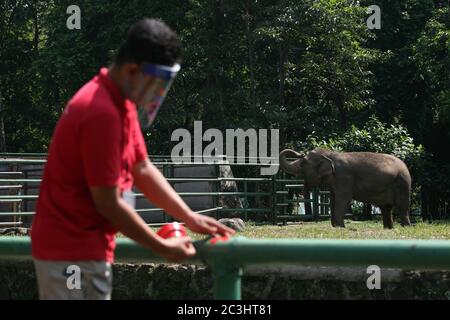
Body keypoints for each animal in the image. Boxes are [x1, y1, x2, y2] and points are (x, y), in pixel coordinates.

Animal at [280, 149, 414, 229]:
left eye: (303, 163)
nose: (299, 153)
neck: (330, 155)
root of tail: (405, 166)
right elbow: (334, 199)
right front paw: (335, 226)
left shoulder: (343, 177)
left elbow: (343, 199)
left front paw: (339, 227)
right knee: (386, 208)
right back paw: (388, 228)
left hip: (402, 182)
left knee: (402, 206)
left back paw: (406, 227)